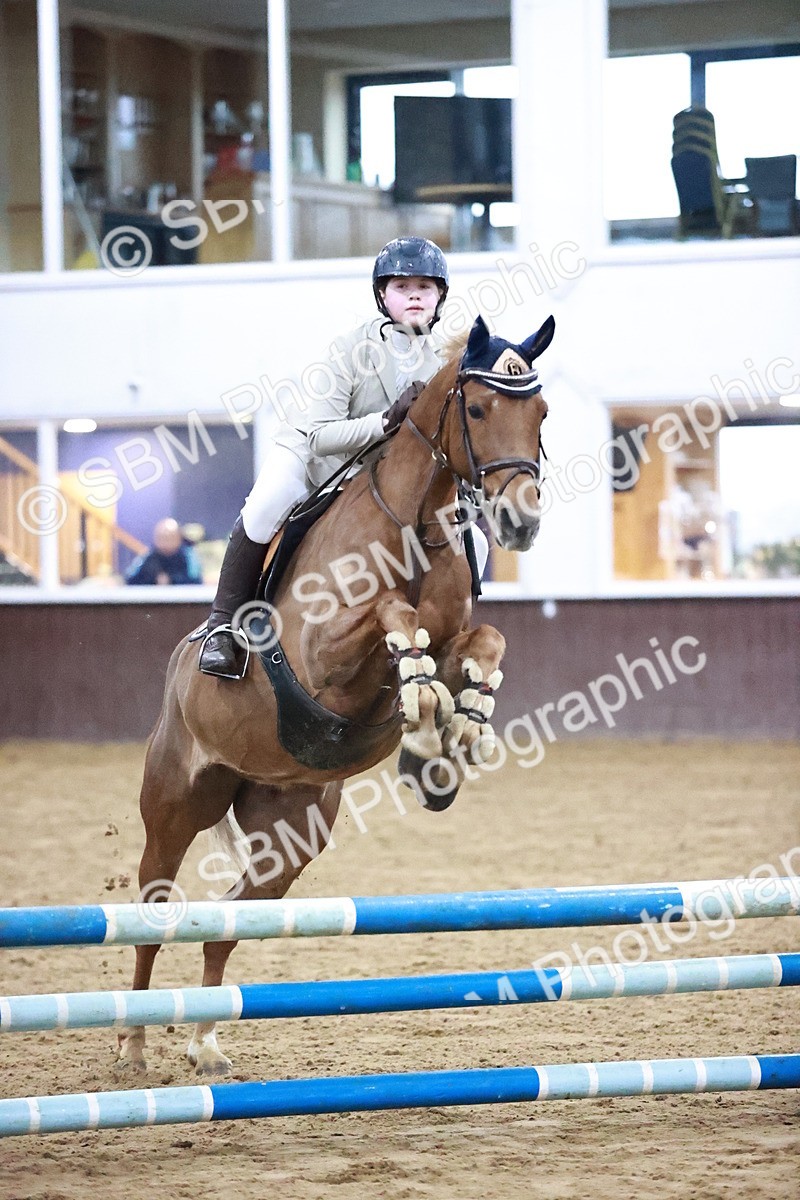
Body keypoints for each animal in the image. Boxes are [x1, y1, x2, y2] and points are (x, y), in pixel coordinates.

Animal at [117, 312, 555, 1075]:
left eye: (542, 412)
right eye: (476, 409)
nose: (520, 523)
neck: (413, 523)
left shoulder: (452, 636)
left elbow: (483, 643)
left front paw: (457, 730)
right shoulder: (323, 656)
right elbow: (391, 618)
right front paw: (423, 726)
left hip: (288, 836)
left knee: (226, 922)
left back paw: (205, 1044)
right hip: (175, 806)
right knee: (153, 912)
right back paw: (137, 1046)